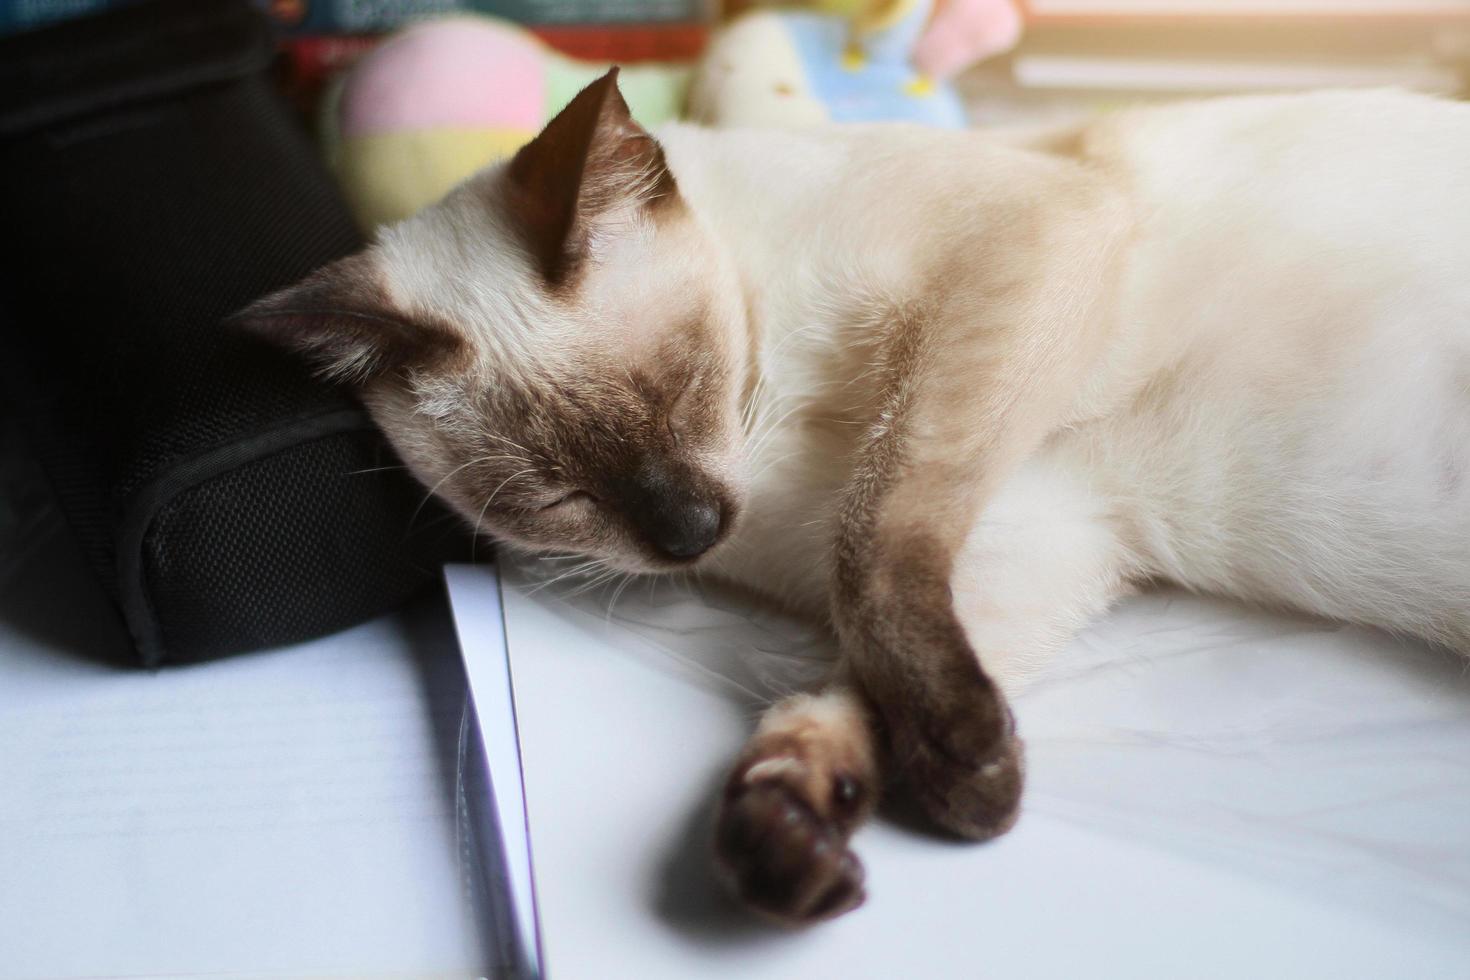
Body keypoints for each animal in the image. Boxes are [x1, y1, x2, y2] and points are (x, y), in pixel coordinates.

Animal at [235, 74, 1470, 928]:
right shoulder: (1044, 528)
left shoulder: (1014, 266)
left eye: (683, 384)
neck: (769, 448)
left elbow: (873, 548)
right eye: (556, 496)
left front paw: (967, 777)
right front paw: (802, 827)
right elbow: (847, 680)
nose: (689, 533)